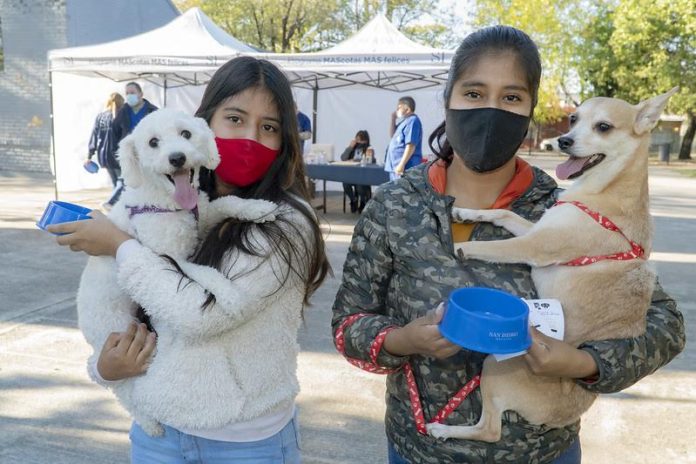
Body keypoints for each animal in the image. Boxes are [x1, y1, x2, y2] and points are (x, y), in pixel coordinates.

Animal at [77, 109, 278, 436]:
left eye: (186, 134)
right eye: (153, 142)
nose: (177, 158)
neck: (168, 203)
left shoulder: (203, 215)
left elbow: (225, 202)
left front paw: (257, 208)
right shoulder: (166, 255)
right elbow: (203, 271)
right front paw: (230, 295)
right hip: (115, 331)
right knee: (124, 389)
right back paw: (149, 423)